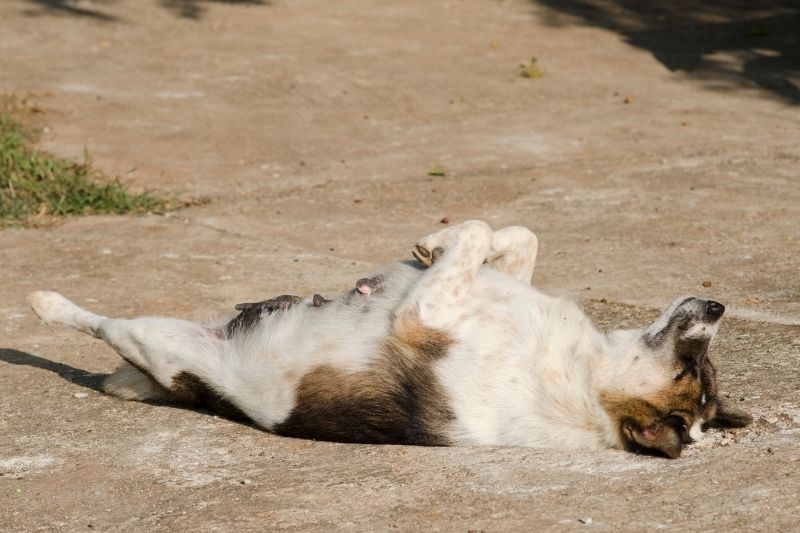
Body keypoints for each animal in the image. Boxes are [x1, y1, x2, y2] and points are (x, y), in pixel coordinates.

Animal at [26, 220, 752, 458]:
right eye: (700, 367)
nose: (719, 303)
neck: (588, 378)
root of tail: (197, 393)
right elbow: (512, 237)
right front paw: (432, 241)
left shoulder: (423, 314)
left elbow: (476, 238)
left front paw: (443, 240)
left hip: (158, 339)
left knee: (96, 325)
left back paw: (44, 302)